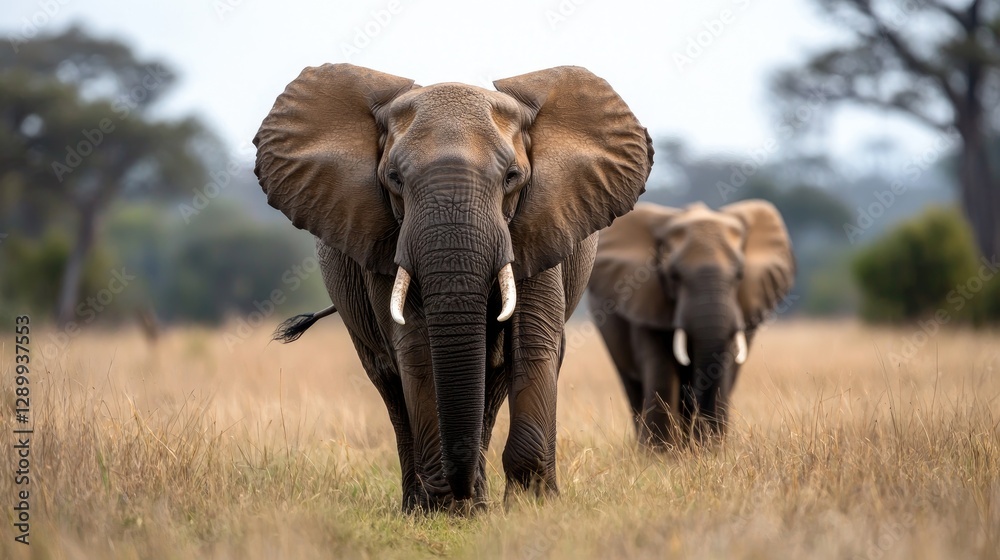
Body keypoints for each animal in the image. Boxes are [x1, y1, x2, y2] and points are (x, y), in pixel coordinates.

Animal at [253, 63, 652, 511]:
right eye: (394, 178)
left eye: (512, 177)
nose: (456, 493)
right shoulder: (383, 237)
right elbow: (415, 346)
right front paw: (444, 511)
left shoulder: (541, 223)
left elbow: (532, 340)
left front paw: (531, 506)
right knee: (389, 382)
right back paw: (424, 506)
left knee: (493, 379)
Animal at [586, 200, 794, 447]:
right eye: (674, 276)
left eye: (739, 274)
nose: (706, 442)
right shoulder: (645, 300)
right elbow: (661, 369)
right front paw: (661, 452)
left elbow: (721, 369)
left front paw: (709, 450)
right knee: (632, 385)